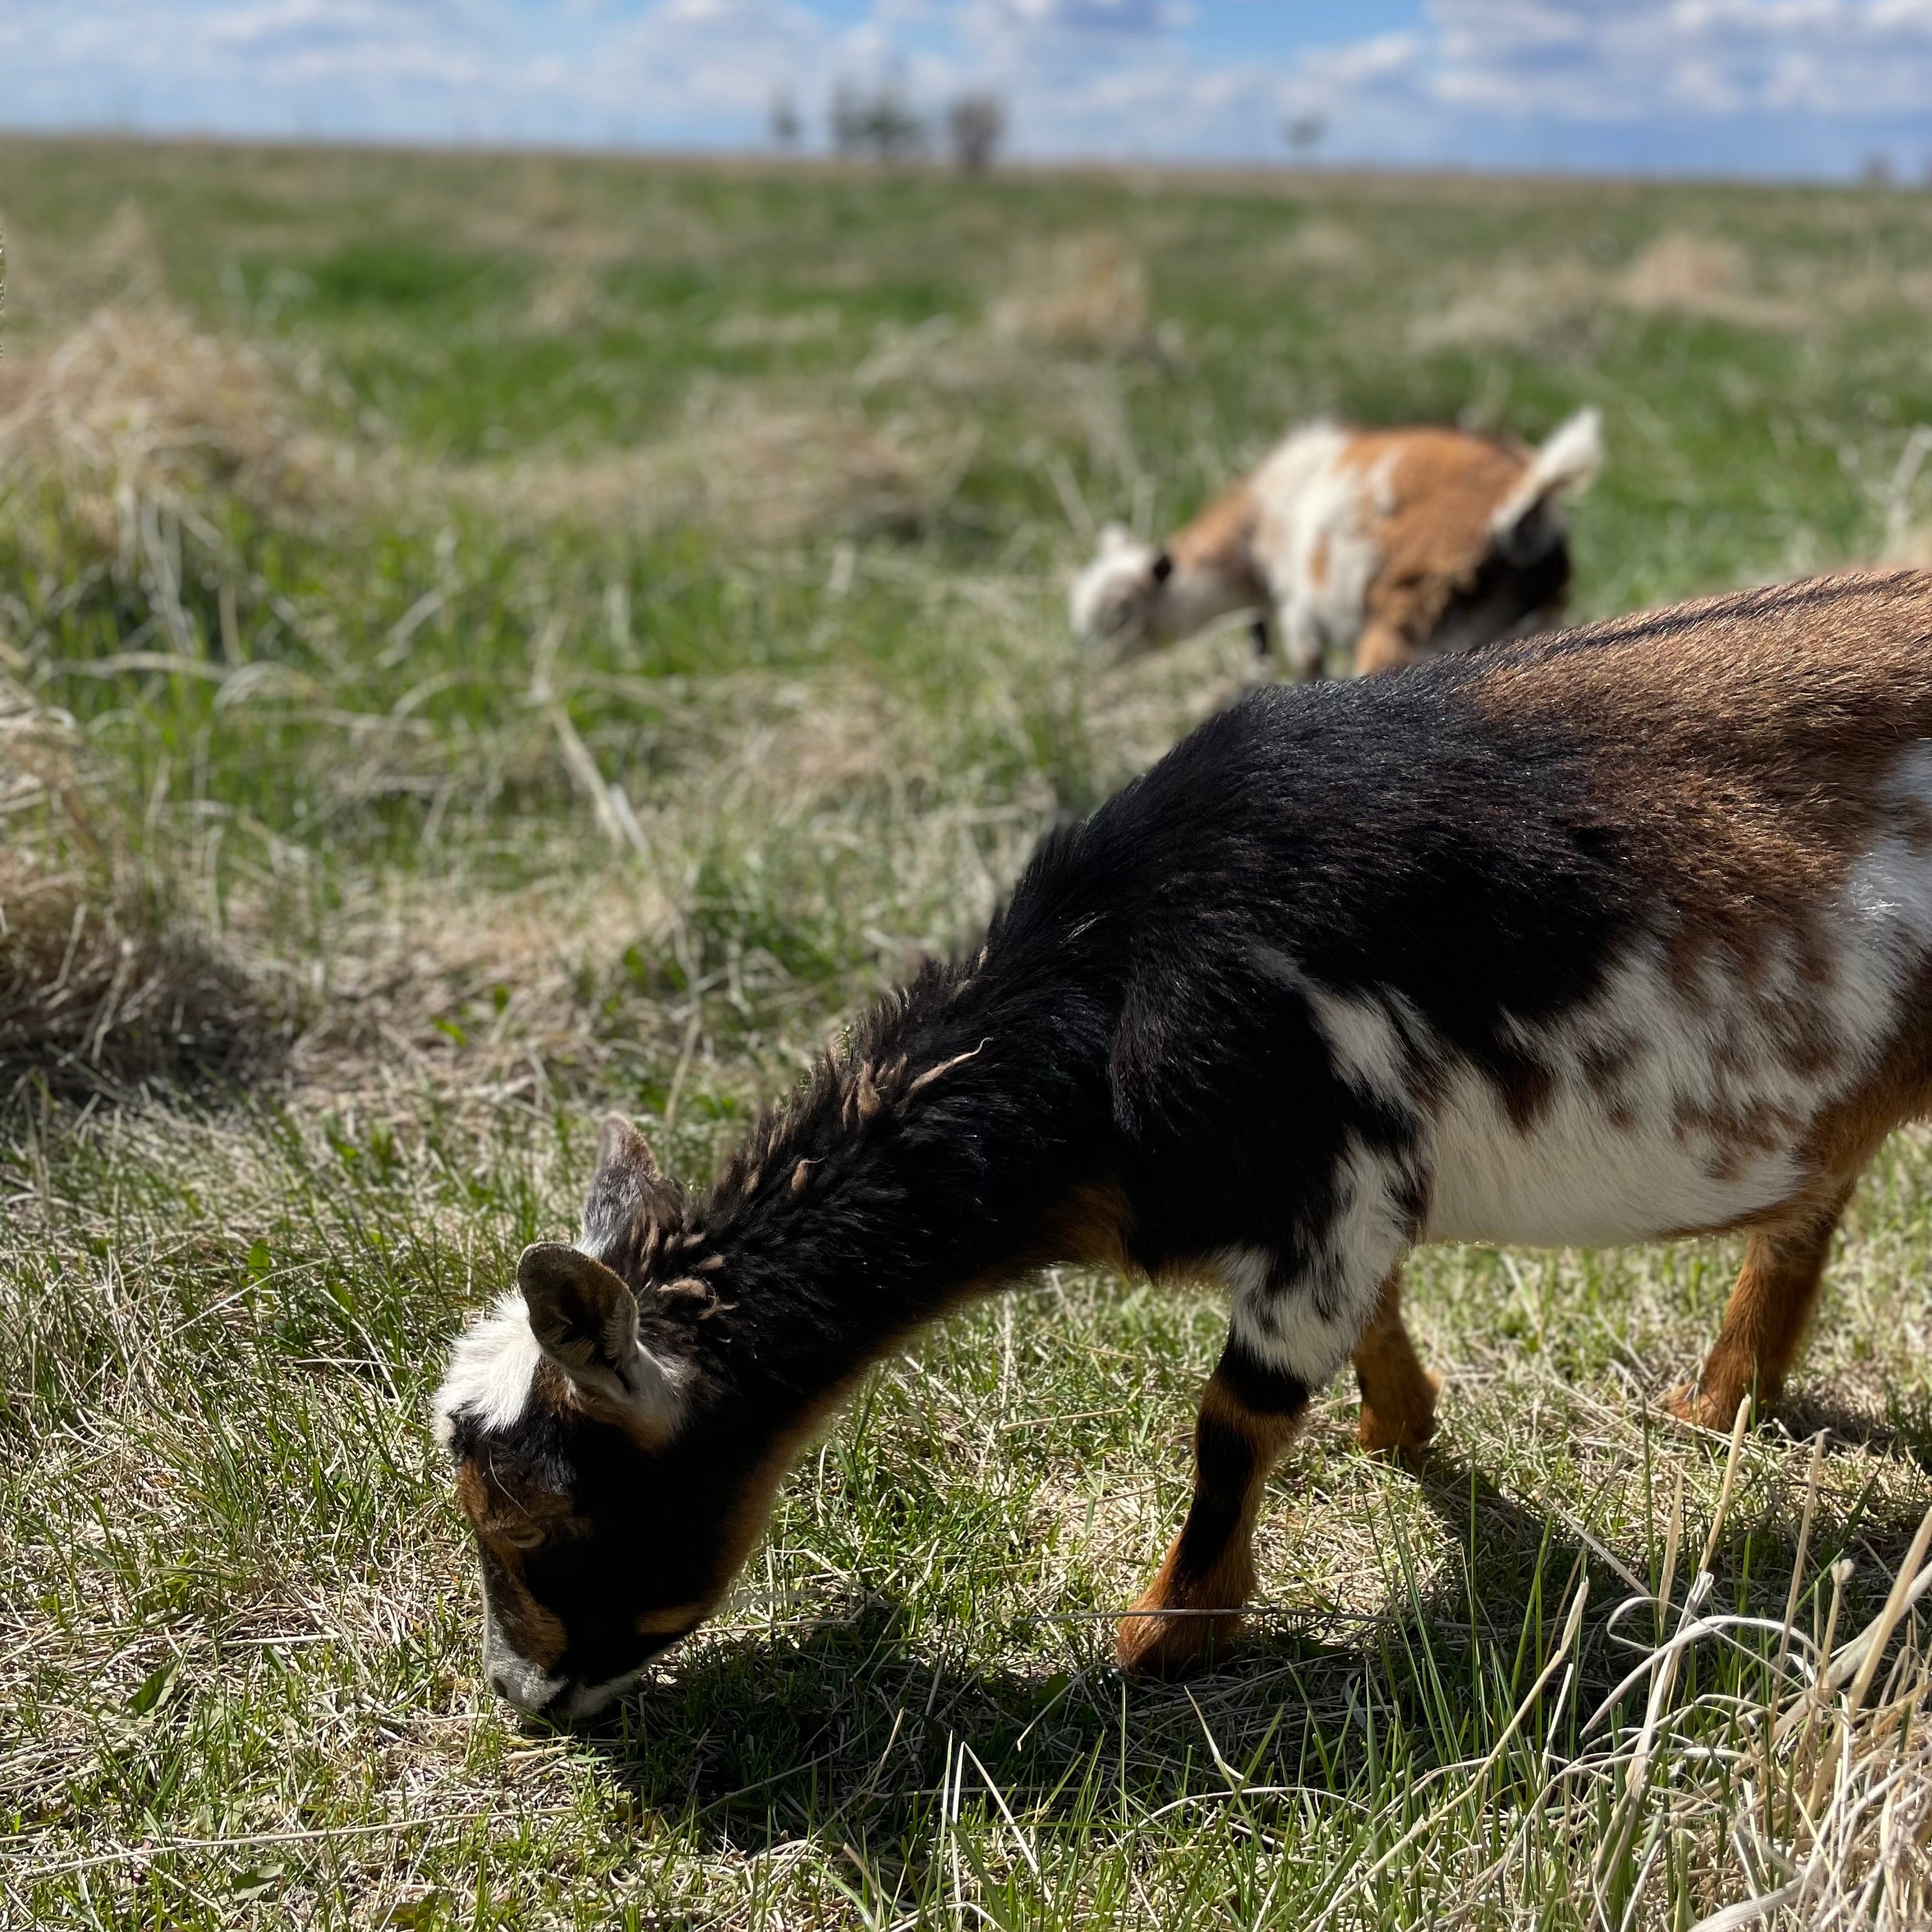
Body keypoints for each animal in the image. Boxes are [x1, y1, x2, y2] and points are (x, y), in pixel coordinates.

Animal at [440, 570, 1932, 1714]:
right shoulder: (1345, 1198)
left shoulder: (1317, 1194)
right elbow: (1371, 1329)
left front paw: (1166, 1631)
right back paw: (1716, 1404)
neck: (1109, 985)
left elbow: (1230, 1421)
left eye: (532, 1519)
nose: (526, 1703)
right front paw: (1397, 1431)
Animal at [1070, 409, 1603, 677]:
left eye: (1118, 614)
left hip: (1409, 620)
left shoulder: (1298, 611)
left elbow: (1309, 669)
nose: (1089, 667)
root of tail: (1525, 493)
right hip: (1538, 622)